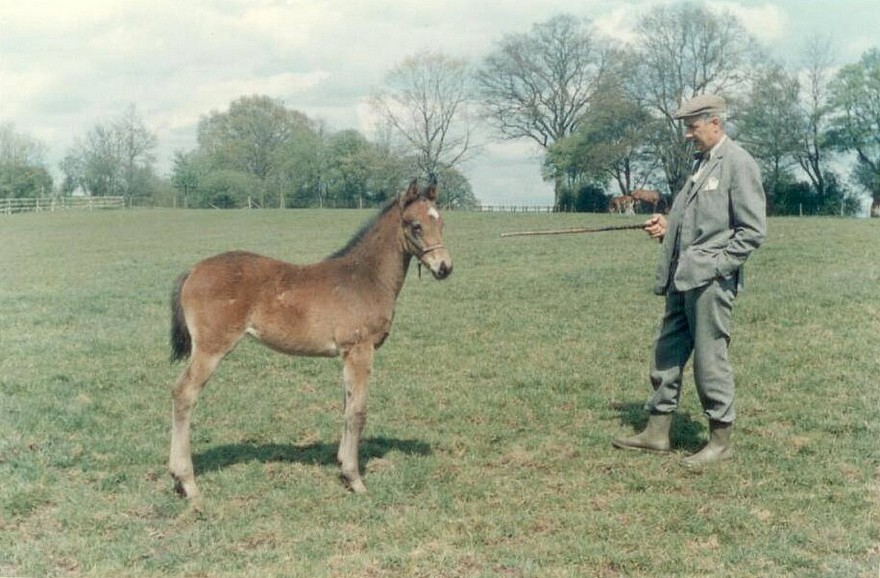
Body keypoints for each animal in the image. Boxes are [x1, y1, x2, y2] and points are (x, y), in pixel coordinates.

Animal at [169, 177, 454, 496]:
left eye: (441, 222)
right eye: (415, 225)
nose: (445, 267)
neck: (365, 278)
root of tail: (193, 270)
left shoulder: (347, 355)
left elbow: (347, 406)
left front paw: (343, 466)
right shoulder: (360, 349)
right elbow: (358, 412)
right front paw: (355, 479)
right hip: (210, 348)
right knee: (183, 394)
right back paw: (187, 482)